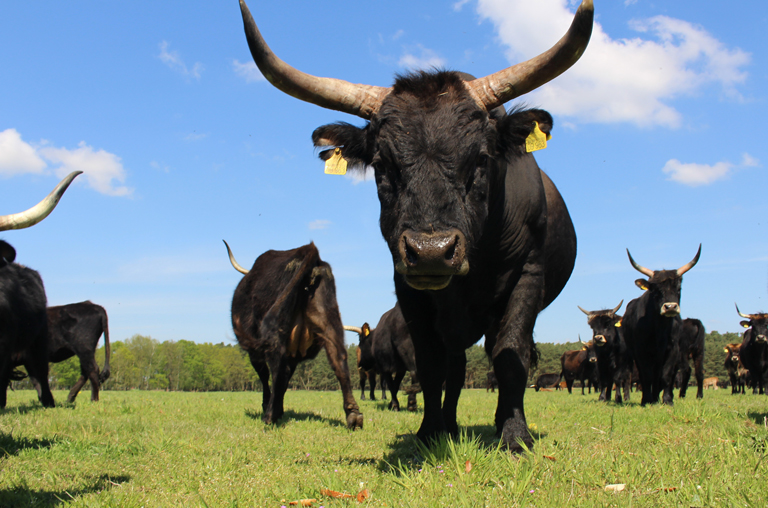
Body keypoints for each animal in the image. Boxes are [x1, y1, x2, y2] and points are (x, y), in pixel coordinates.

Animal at [225, 241, 364, 428]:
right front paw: (279, 408)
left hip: (275, 332)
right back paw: (353, 415)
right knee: (339, 358)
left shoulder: (254, 352)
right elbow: (285, 379)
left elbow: (266, 376)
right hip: (329, 319)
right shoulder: (294, 355)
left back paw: (269, 416)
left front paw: (270, 407)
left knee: (276, 366)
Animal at [240, 0, 592, 452]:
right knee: (453, 367)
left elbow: (510, 356)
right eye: (382, 164)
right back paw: (450, 425)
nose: (431, 252)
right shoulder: (408, 288)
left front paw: (515, 435)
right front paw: (430, 431)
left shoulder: (527, 276)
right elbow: (430, 366)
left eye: (481, 158)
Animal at [624, 244, 704, 406]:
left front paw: (667, 400)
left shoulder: (673, 349)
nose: (670, 307)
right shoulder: (641, 351)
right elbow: (646, 375)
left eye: (678, 288)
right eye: (655, 289)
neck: (659, 328)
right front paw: (647, 400)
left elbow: (665, 375)